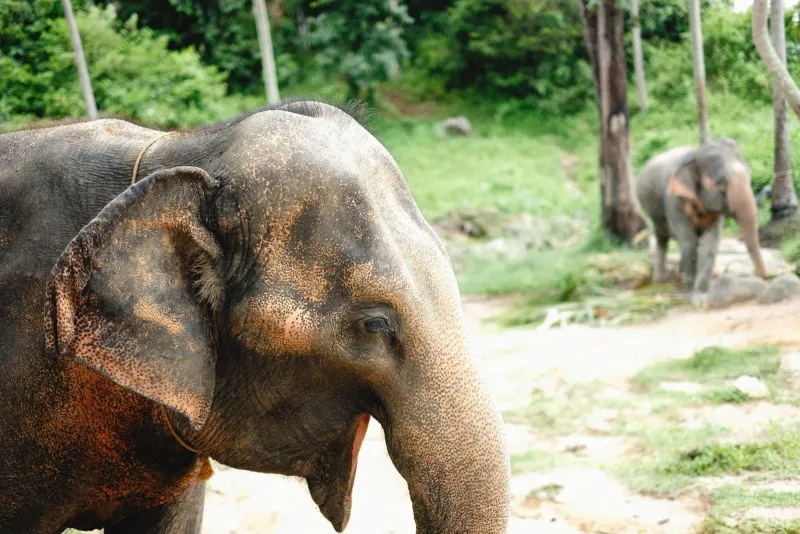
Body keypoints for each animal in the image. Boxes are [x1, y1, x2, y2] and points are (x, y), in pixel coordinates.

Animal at [636, 137, 767, 305]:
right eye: (720, 182)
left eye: (749, 174)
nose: (758, 273)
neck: (695, 154)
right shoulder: (673, 200)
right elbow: (688, 241)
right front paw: (691, 291)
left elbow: (710, 243)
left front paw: (701, 294)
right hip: (651, 207)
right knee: (663, 237)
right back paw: (661, 278)